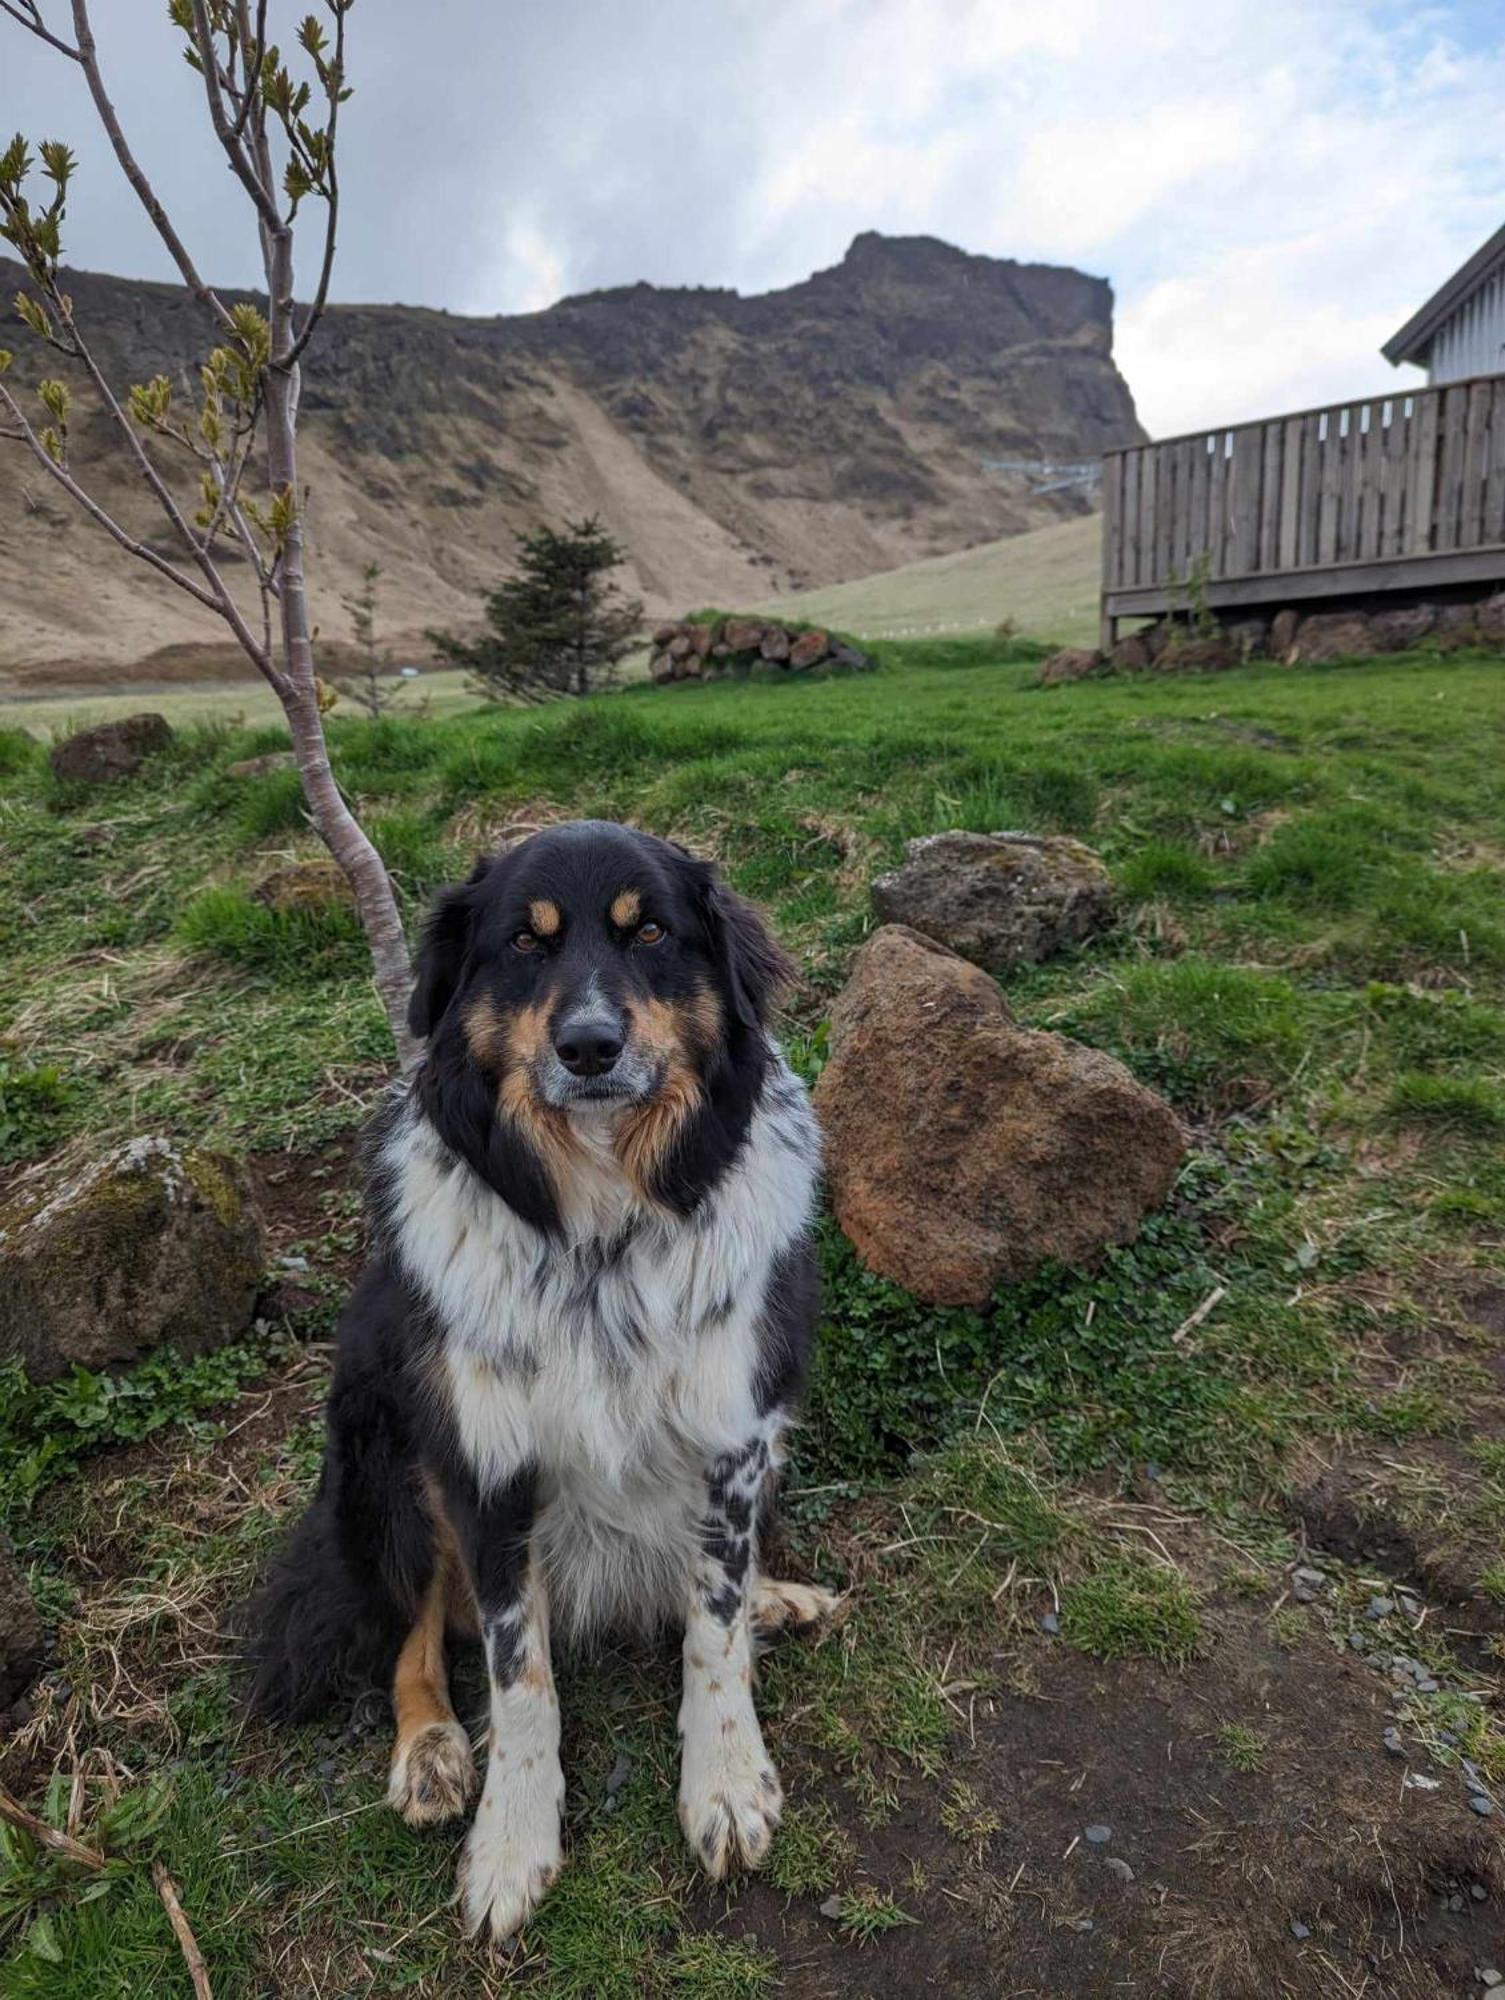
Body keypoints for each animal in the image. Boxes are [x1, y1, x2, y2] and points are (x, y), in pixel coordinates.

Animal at [247, 816, 836, 1936]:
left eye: (649, 931)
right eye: (524, 942)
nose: (589, 1046)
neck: (599, 1232)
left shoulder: (735, 1430)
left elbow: (711, 1624)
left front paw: (725, 1778)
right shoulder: (484, 1461)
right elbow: (517, 1671)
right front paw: (511, 1843)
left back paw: (778, 1597)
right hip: (387, 1446)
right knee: (413, 1632)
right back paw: (431, 1750)